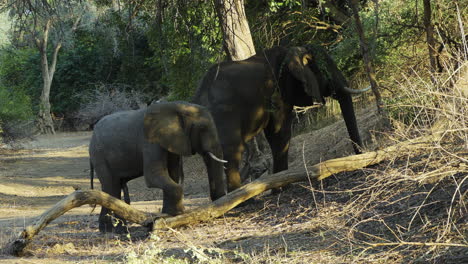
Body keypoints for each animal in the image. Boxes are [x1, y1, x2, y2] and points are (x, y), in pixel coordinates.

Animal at [89, 101, 227, 233]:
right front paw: (179, 213)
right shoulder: (150, 140)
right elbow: (154, 175)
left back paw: (119, 230)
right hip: (99, 156)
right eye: (202, 129)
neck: (177, 106)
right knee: (111, 188)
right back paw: (107, 230)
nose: (217, 204)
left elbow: (173, 174)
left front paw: (169, 213)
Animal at [193, 44, 370, 192]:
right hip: (224, 115)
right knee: (232, 151)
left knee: (212, 158)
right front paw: (281, 187)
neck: (292, 50)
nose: (361, 157)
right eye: (326, 70)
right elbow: (280, 132)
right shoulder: (277, 91)